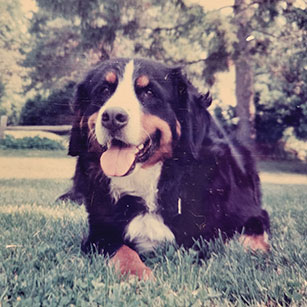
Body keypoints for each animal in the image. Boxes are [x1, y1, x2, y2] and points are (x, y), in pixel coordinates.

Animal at [61, 58, 270, 282]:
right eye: (104, 89)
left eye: (149, 92)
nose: (113, 116)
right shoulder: (100, 232)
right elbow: (122, 250)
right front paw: (137, 274)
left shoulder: (251, 214)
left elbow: (252, 240)